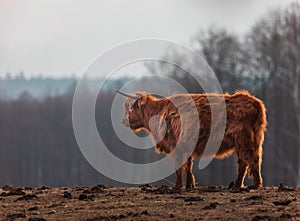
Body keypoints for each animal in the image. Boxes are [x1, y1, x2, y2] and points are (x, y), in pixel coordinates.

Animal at [118, 90, 266, 190]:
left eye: (131, 108)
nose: (123, 121)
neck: (158, 112)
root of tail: (252, 100)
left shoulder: (176, 146)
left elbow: (179, 167)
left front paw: (177, 186)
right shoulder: (186, 146)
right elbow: (188, 166)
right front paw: (190, 185)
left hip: (244, 140)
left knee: (251, 159)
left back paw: (255, 185)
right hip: (249, 141)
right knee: (244, 162)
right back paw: (237, 185)